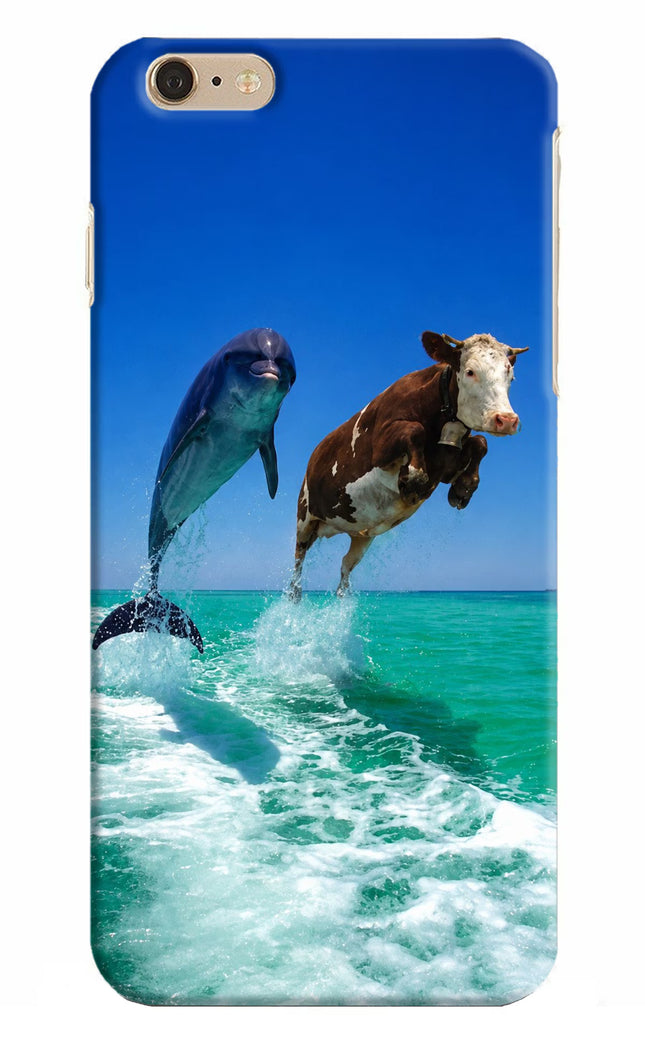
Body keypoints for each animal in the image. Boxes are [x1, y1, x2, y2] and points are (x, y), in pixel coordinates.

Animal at [289, 330, 528, 599]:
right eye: (470, 371)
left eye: (510, 375)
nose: (506, 420)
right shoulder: (380, 447)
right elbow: (415, 430)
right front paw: (413, 479)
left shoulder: (446, 465)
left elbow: (480, 442)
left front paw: (463, 489)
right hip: (304, 516)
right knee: (298, 560)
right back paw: (295, 594)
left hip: (361, 534)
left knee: (345, 565)